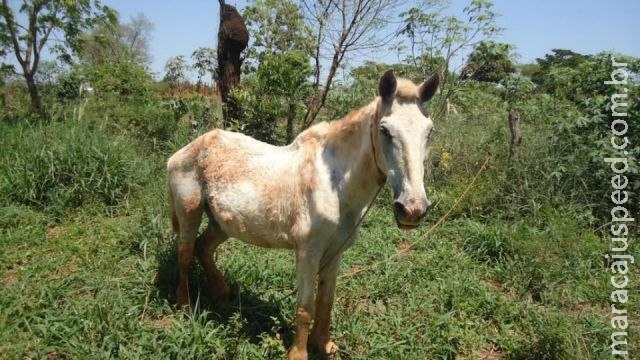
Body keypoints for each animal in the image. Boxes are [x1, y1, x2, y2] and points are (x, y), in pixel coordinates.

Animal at [166, 70, 440, 360]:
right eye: (385, 130)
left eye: (429, 131)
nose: (412, 209)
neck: (333, 184)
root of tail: (184, 151)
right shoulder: (308, 253)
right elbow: (305, 307)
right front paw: (298, 353)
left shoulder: (335, 253)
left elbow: (326, 301)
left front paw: (324, 344)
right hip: (190, 214)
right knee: (185, 253)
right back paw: (185, 304)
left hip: (222, 224)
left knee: (203, 248)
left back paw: (222, 293)